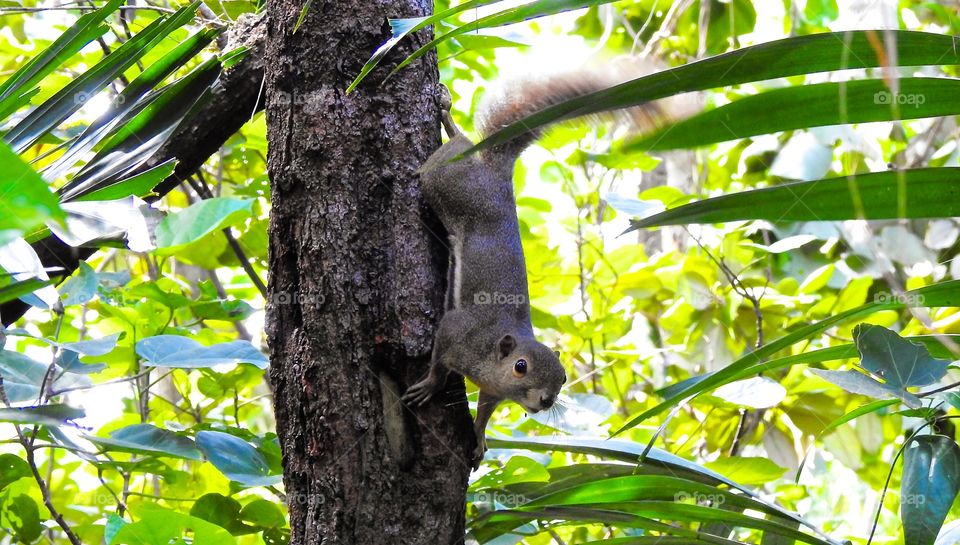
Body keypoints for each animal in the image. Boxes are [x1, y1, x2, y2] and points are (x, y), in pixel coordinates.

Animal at [402, 59, 690, 468]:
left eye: (564, 378)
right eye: (521, 367)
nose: (545, 400)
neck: (495, 356)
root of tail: (497, 173)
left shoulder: (493, 391)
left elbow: (486, 411)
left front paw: (479, 438)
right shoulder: (458, 334)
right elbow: (441, 361)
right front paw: (430, 384)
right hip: (447, 183)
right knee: (451, 154)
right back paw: (447, 122)